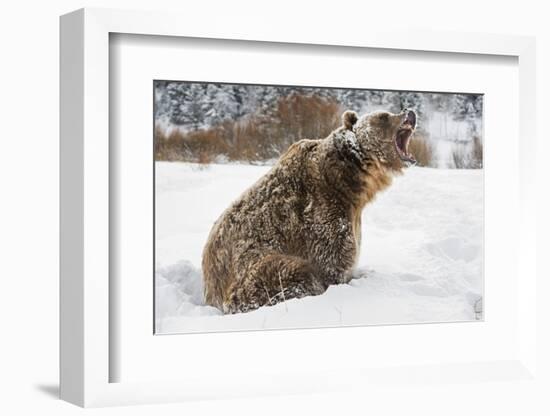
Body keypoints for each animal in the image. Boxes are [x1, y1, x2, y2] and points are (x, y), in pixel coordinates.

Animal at [203, 109, 418, 314]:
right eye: (384, 116)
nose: (410, 113)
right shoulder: (321, 210)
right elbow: (333, 261)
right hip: (251, 266)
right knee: (293, 272)